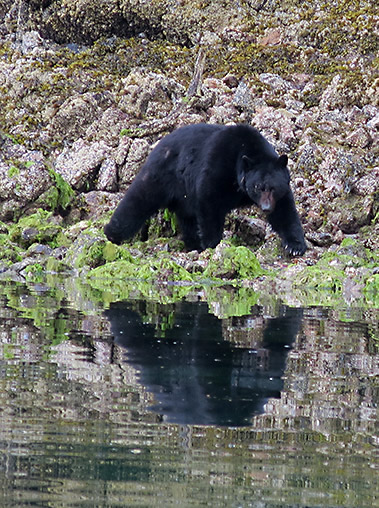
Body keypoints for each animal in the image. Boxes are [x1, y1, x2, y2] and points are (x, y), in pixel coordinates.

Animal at [105, 122, 308, 256]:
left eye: (273, 187)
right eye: (258, 187)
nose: (266, 208)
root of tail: (158, 144)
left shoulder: (280, 190)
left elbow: (284, 212)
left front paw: (296, 246)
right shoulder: (218, 168)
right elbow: (209, 202)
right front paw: (212, 243)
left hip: (182, 195)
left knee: (187, 218)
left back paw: (192, 243)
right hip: (161, 175)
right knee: (138, 201)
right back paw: (111, 234)